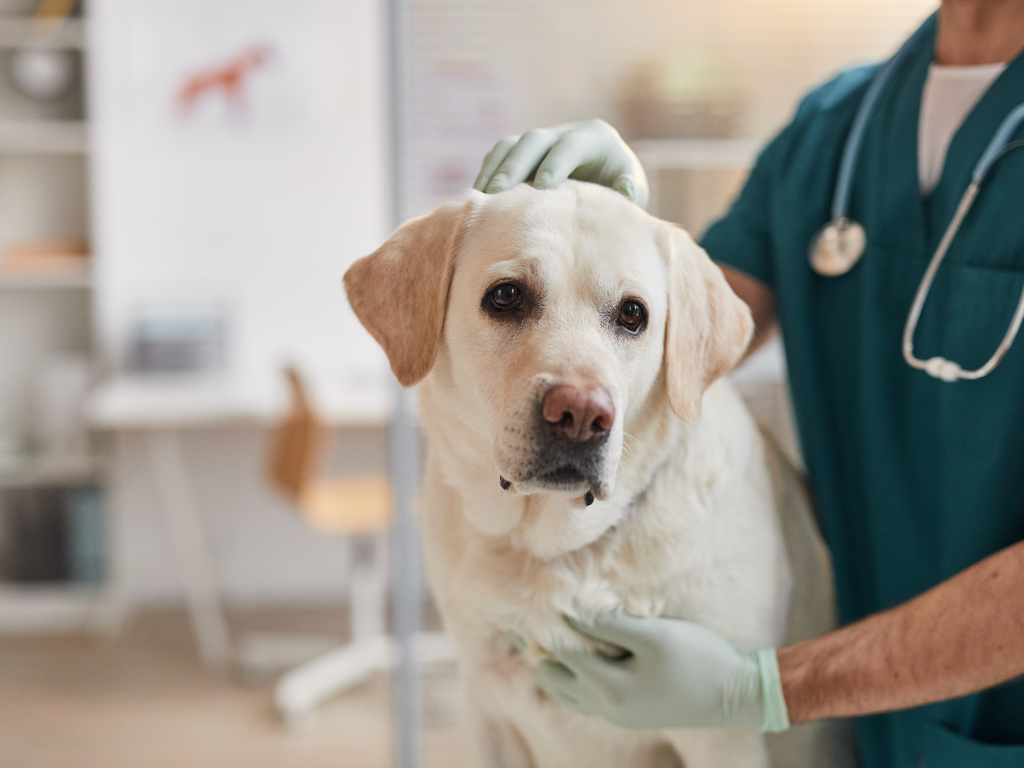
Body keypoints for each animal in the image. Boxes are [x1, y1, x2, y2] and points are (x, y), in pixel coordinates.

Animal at [348, 183, 843, 765]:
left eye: (633, 314)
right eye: (506, 296)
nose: (581, 415)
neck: (557, 550)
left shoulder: (724, 738)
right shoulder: (486, 709)